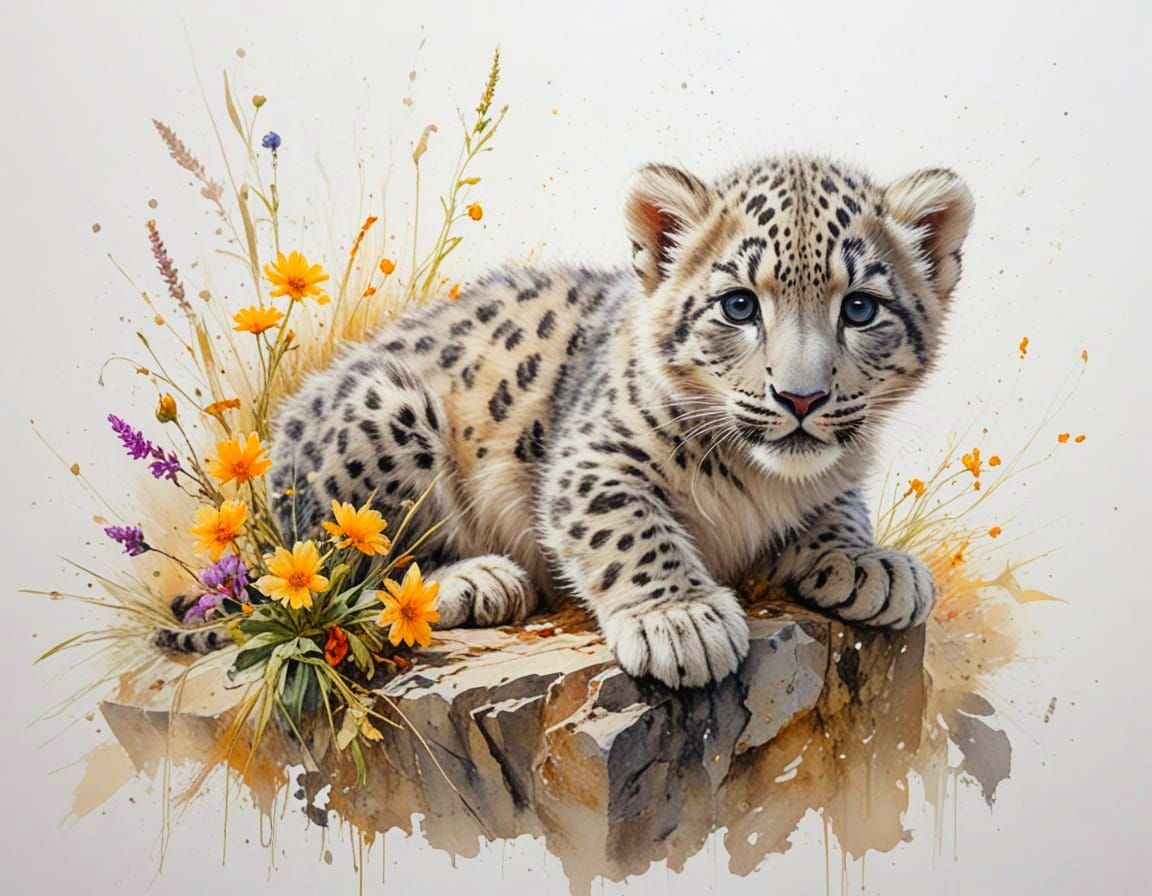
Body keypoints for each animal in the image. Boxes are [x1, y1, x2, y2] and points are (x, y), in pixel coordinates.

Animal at [267, 154, 974, 690]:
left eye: (859, 308)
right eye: (739, 305)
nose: (800, 398)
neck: (766, 480)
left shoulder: (836, 474)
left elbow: (840, 506)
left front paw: (866, 563)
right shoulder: (591, 461)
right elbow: (627, 527)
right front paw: (682, 621)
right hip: (389, 408)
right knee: (347, 560)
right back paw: (474, 580)